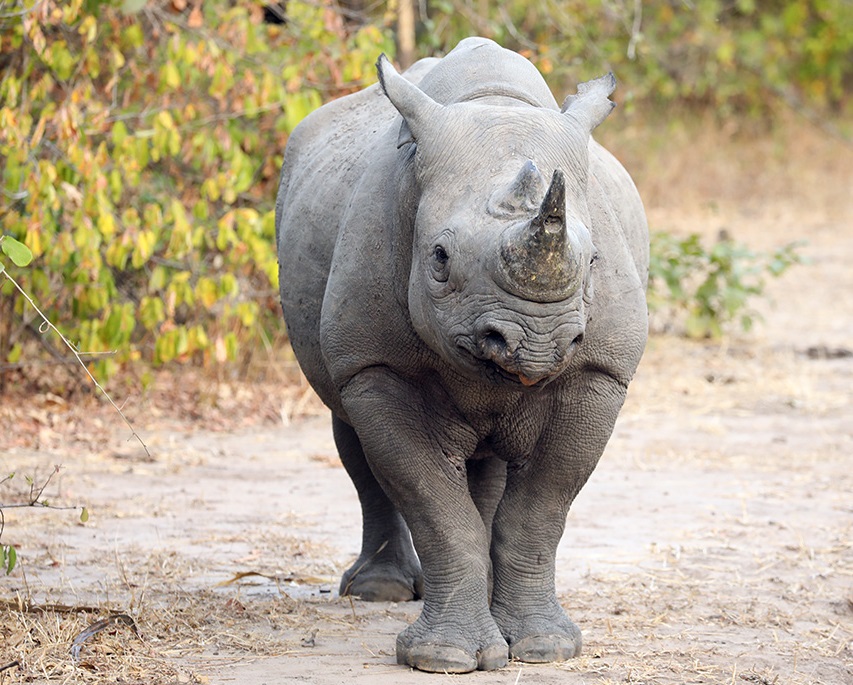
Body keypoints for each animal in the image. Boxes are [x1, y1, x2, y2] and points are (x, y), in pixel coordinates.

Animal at [276, 37, 648, 672]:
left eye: (594, 261)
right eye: (440, 258)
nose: (533, 341)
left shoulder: (599, 371)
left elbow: (540, 510)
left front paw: (545, 648)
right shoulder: (376, 367)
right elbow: (436, 508)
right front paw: (443, 658)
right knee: (349, 431)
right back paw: (379, 591)